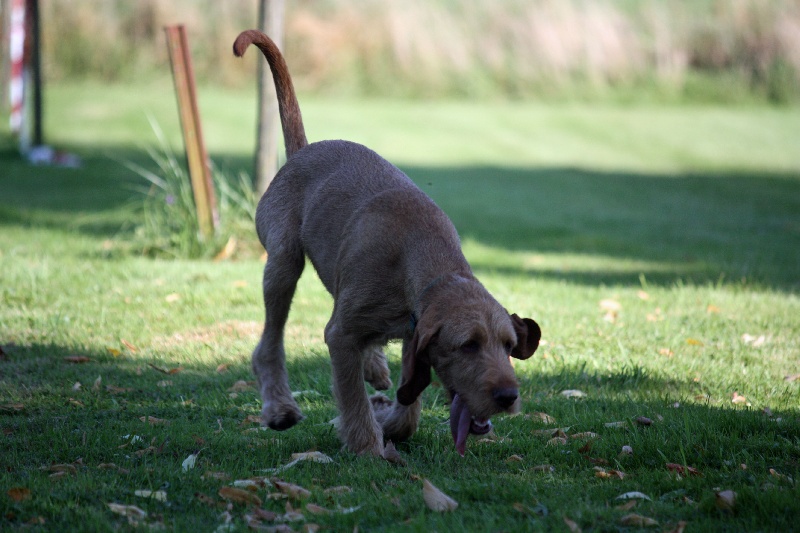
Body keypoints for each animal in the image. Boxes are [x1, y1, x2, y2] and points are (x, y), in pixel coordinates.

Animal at [233, 30, 541, 458]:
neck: (424, 265)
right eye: (468, 345)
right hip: (282, 264)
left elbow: (408, 402)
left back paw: (375, 367)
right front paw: (368, 445)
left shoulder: (412, 336)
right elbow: (352, 397)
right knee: (269, 345)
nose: (508, 397)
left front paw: (390, 420)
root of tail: (302, 151)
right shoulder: (340, 336)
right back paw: (280, 407)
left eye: (509, 345)